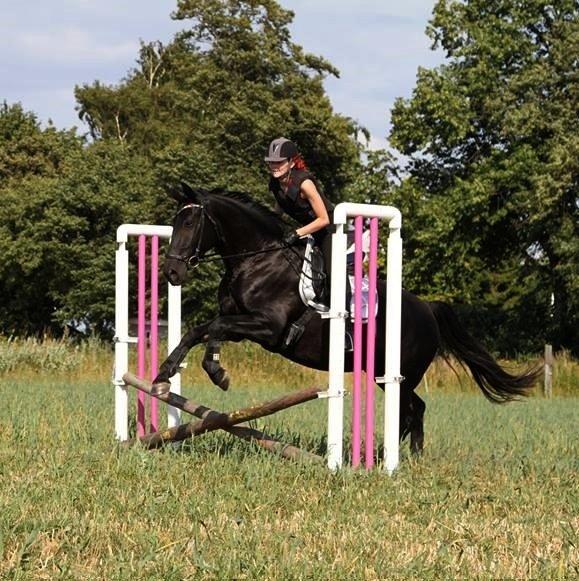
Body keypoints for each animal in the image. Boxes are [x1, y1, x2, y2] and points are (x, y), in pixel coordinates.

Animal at [153, 184, 540, 456]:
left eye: (190, 222)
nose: (172, 272)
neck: (256, 260)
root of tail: (428, 309)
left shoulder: (269, 327)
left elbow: (214, 329)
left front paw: (217, 373)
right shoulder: (240, 322)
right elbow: (200, 330)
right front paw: (164, 374)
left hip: (401, 373)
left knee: (414, 408)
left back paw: (403, 456)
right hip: (382, 372)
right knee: (412, 409)